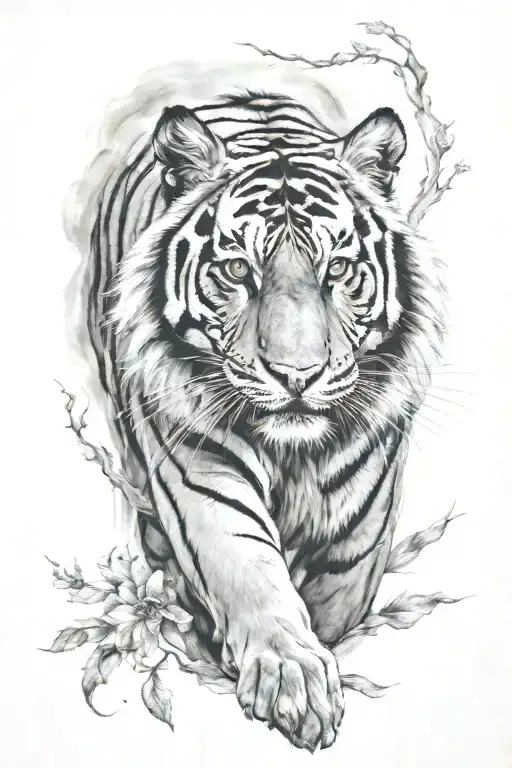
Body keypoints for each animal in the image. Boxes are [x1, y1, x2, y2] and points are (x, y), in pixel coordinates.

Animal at [66, 63, 445, 752]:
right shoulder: (198, 467)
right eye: (239, 270)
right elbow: (247, 568)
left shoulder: (363, 515)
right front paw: (292, 679)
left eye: (338, 270)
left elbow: (340, 590)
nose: (298, 375)